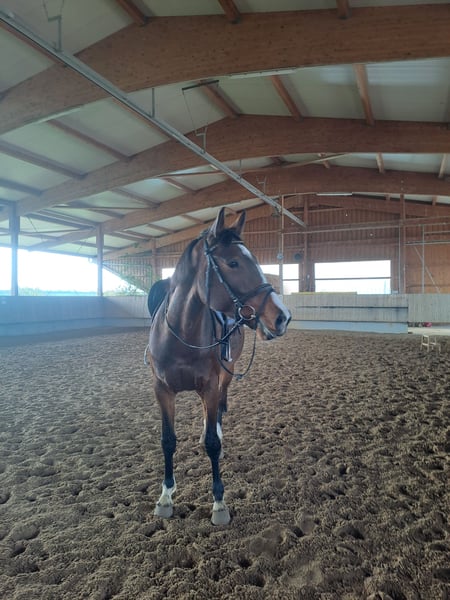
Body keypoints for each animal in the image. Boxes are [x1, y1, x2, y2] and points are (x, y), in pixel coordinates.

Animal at [146, 207, 291, 525]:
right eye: (233, 262)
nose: (282, 316)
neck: (182, 336)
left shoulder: (211, 387)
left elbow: (212, 441)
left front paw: (219, 503)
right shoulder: (162, 391)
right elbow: (167, 440)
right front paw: (165, 496)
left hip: (226, 374)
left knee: (219, 413)